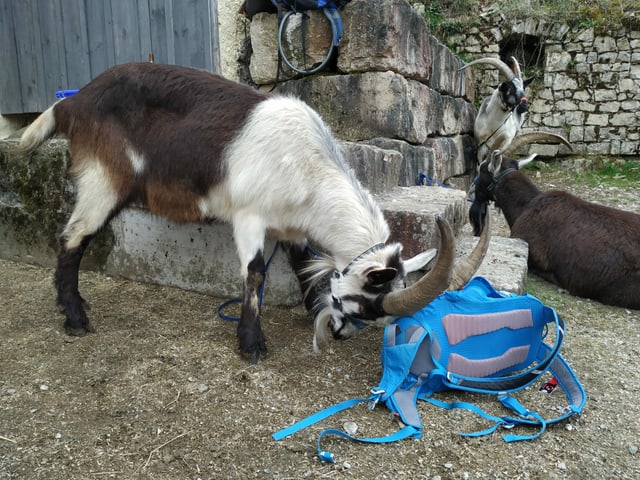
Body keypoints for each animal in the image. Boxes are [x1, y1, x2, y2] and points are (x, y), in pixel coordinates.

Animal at [20, 64, 490, 364]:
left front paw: (309, 309)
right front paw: (251, 343)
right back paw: (75, 319)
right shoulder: (249, 217)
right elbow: (255, 273)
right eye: (363, 307)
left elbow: (302, 265)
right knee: (73, 238)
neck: (307, 165)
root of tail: (72, 104)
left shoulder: (293, 227)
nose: (339, 334)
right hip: (104, 178)